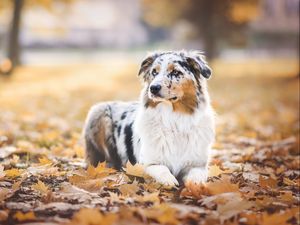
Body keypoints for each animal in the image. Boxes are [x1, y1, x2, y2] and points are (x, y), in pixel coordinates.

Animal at [83, 51, 214, 186]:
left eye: (175, 72)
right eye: (154, 72)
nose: (153, 88)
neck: (173, 120)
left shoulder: (198, 165)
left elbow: (196, 177)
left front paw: (195, 186)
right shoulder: (145, 165)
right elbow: (161, 169)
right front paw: (169, 181)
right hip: (98, 111)